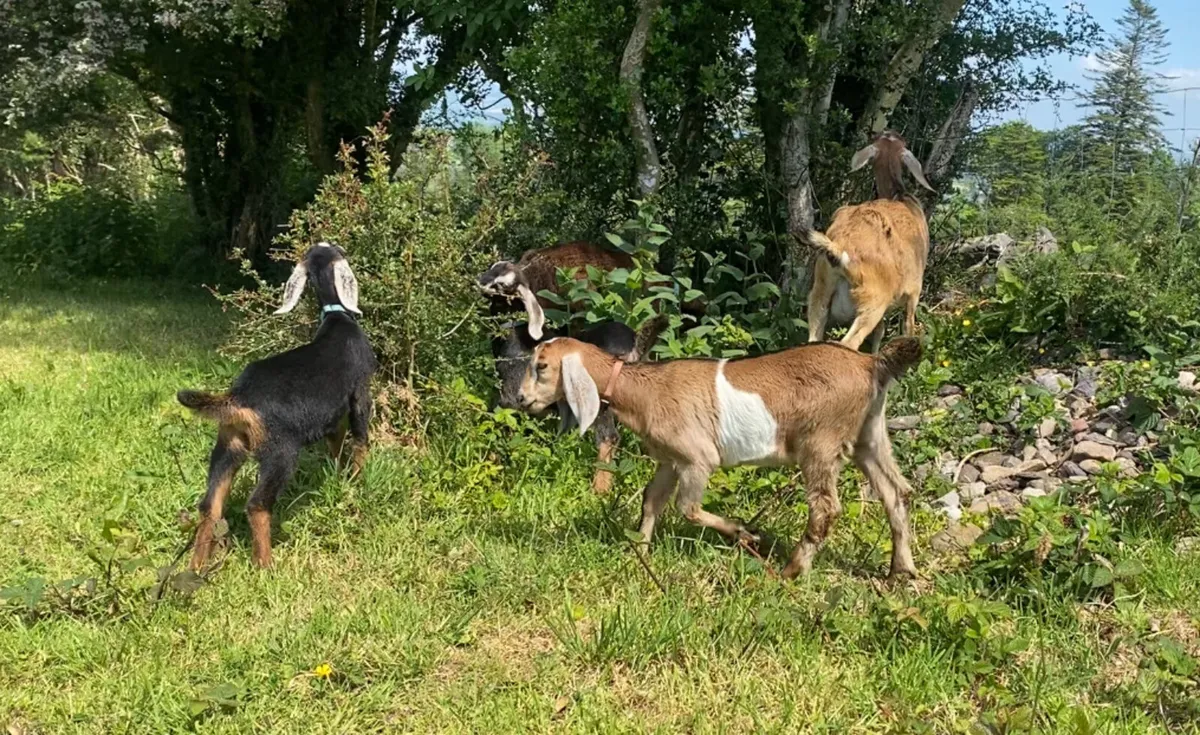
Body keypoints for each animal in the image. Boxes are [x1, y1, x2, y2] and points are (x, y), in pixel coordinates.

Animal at [177, 242, 377, 570]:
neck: (337, 317)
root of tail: (239, 398)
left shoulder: (332, 415)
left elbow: (335, 442)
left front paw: (337, 473)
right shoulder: (360, 391)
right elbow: (360, 438)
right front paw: (357, 479)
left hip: (228, 447)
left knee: (210, 505)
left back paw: (197, 565)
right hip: (280, 452)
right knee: (257, 505)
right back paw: (266, 565)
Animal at [517, 336, 922, 579]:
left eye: (542, 366)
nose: (520, 399)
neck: (646, 390)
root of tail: (870, 364)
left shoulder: (697, 458)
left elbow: (687, 508)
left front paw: (745, 533)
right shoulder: (670, 459)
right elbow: (652, 500)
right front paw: (641, 550)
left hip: (821, 441)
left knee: (826, 509)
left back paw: (792, 569)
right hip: (869, 434)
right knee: (897, 493)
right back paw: (901, 572)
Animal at [804, 131, 934, 352]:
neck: (899, 195)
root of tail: (838, 249)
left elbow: (880, 331)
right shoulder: (914, 291)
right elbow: (908, 328)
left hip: (820, 293)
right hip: (873, 299)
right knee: (849, 343)